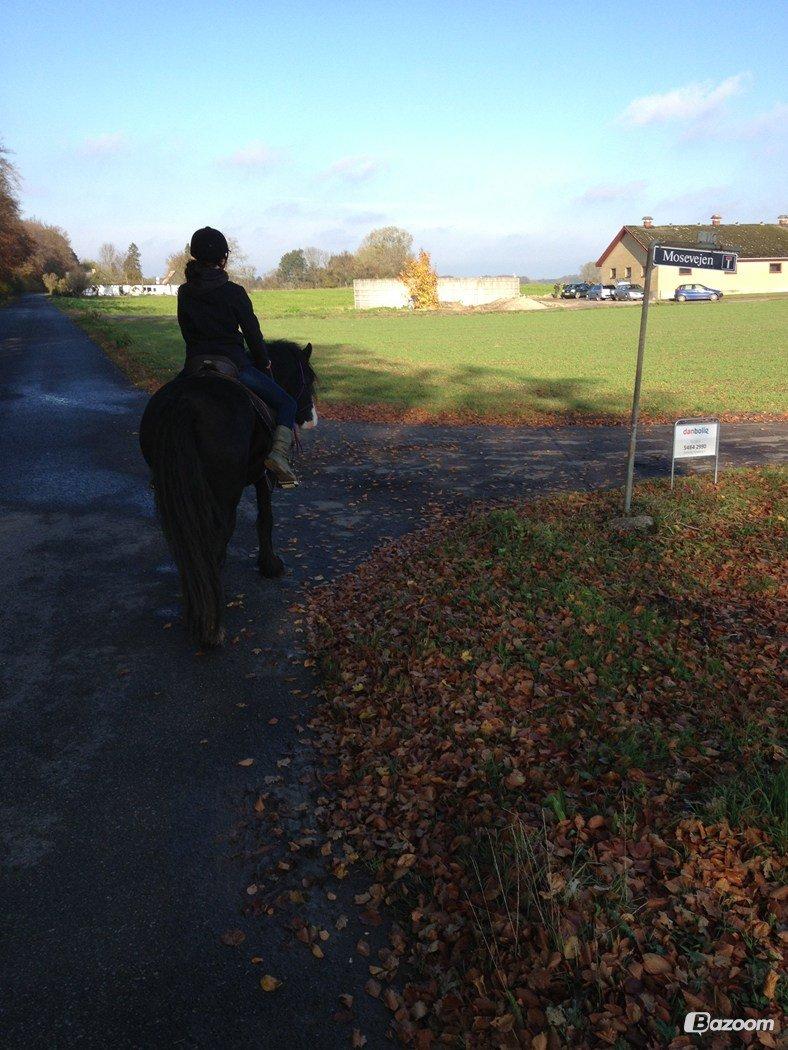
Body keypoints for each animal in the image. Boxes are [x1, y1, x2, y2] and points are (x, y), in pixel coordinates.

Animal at [138, 340, 317, 642]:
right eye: (310, 380)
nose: (312, 418)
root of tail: (185, 401)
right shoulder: (262, 473)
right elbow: (265, 518)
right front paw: (270, 565)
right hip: (226, 492)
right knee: (217, 534)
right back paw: (211, 620)